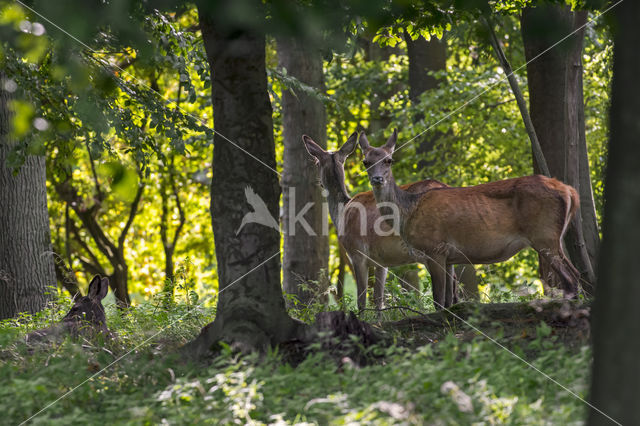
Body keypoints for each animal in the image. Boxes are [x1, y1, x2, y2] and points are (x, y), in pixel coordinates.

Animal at [302, 131, 456, 312]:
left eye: (316, 162)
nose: (318, 182)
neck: (341, 212)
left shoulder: (357, 253)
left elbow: (362, 301)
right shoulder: (381, 261)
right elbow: (379, 300)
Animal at [358, 130, 584, 310]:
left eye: (389, 160)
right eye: (365, 162)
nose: (377, 179)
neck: (408, 211)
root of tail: (570, 191)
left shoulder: (434, 248)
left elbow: (439, 301)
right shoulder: (448, 256)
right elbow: (449, 300)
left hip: (544, 234)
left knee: (571, 277)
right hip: (551, 237)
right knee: (575, 274)